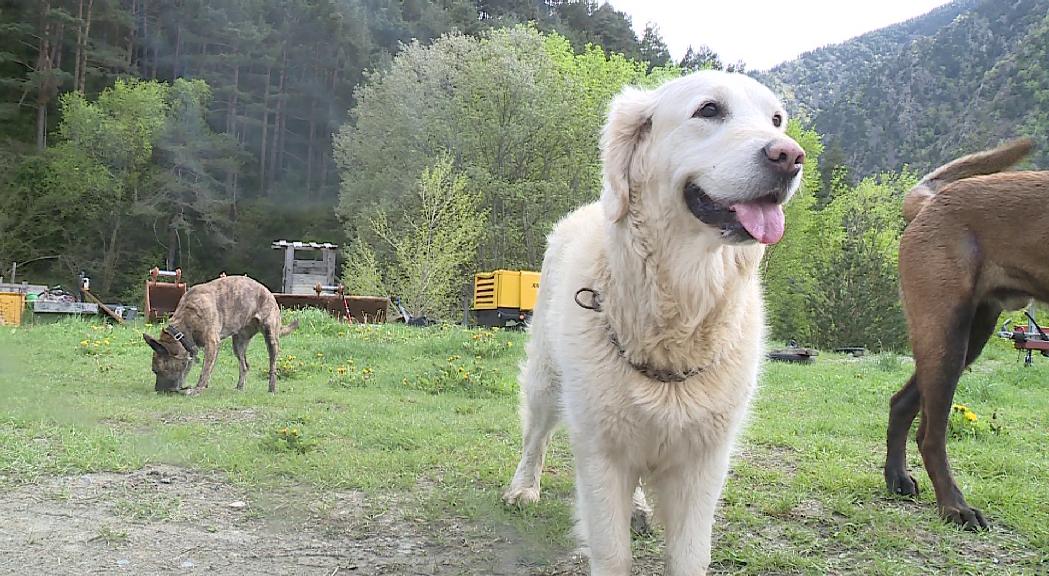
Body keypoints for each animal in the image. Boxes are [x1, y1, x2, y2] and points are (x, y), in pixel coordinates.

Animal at [503, 71, 805, 574]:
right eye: (708, 109)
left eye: (777, 120)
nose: (790, 156)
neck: (682, 299)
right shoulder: (601, 452)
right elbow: (612, 551)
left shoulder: (703, 463)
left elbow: (689, 553)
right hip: (547, 378)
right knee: (536, 436)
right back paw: (523, 487)